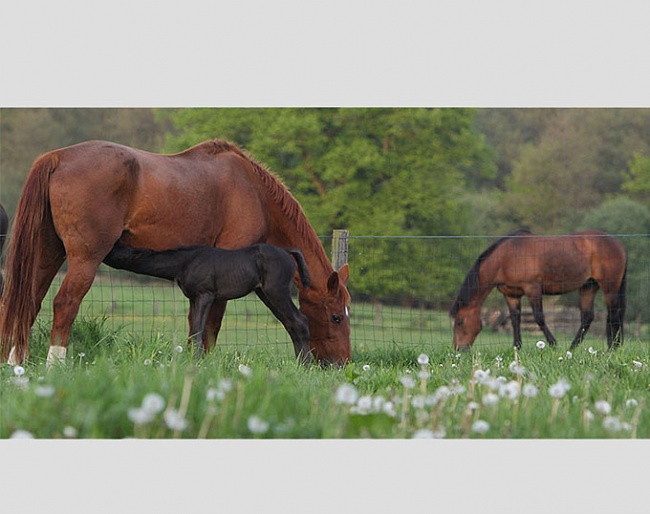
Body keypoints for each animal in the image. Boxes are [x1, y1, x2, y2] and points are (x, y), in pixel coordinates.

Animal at [103, 241, 312, 364]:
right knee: (291, 323)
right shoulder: (194, 298)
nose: (104, 251)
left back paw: (307, 365)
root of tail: (287, 251)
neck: (186, 262)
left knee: (300, 321)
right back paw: (299, 363)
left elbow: (198, 332)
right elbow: (195, 330)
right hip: (266, 294)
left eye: (117, 249)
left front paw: (196, 363)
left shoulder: (205, 295)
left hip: (276, 291)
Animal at [448, 230, 624, 350]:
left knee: (613, 314)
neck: (506, 257)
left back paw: (612, 348)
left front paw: (553, 344)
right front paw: (517, 347)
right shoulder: (511, 294)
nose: (458, 349)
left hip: (609, 287)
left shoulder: (532, 288)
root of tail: (617, 243)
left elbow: (539, 317)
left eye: (459, 322)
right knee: (588, 317)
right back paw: (573, 348)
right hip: (589, 286)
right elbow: (515, 319)